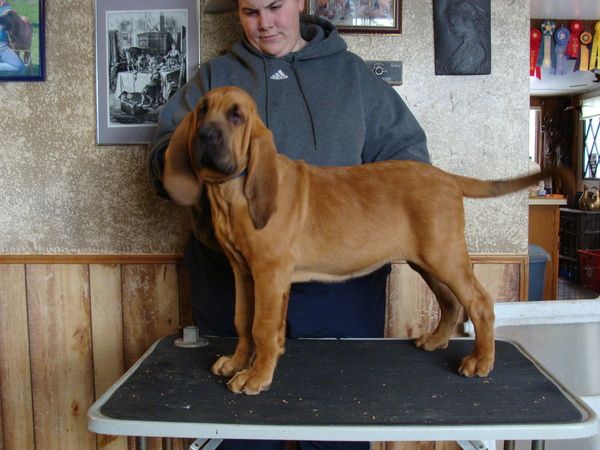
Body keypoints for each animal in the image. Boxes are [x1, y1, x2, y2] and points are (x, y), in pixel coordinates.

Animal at [162, 86, 573, 395]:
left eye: (236, 116)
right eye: (202, 110)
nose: (205, 135)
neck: (231, 193)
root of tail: (445, 176)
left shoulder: (269, 272)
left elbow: (262, 327)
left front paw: (257, 377)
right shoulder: (244, 273)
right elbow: (244, 320)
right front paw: (239, 362)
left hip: (445, 256)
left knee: (480, 302)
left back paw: (480, 361)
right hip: (426, 261)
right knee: (451, 303)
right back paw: (437, 340)